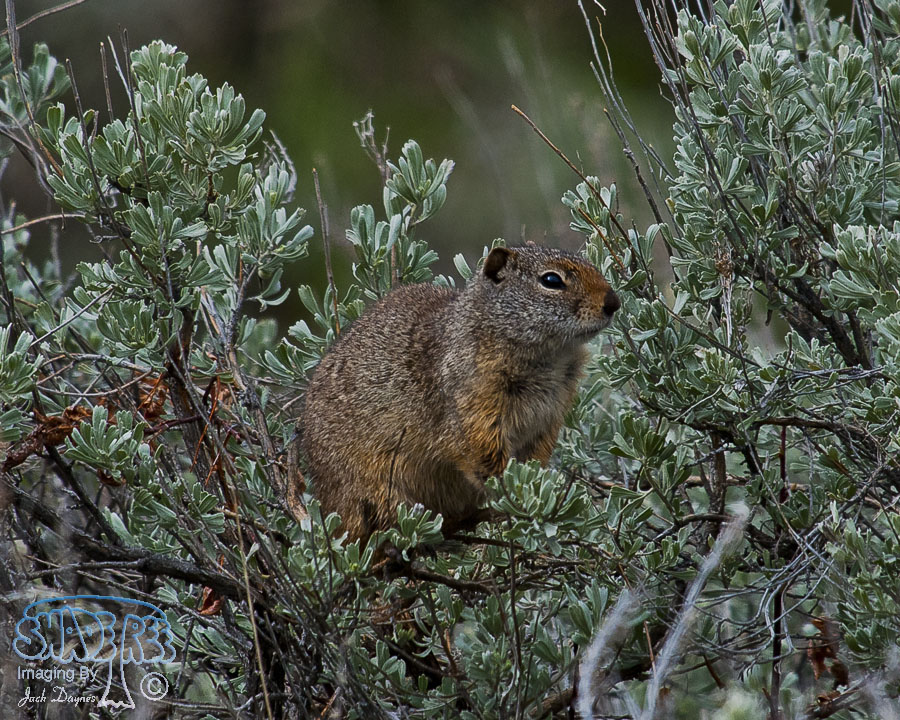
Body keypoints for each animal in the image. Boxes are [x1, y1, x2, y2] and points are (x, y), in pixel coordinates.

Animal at [300, 245, 620, 542]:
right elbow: (488, 460)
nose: (614, 303)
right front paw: (514, 500)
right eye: (552, 280)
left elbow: (535, 457)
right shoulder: (476, 410)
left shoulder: (549, 418)